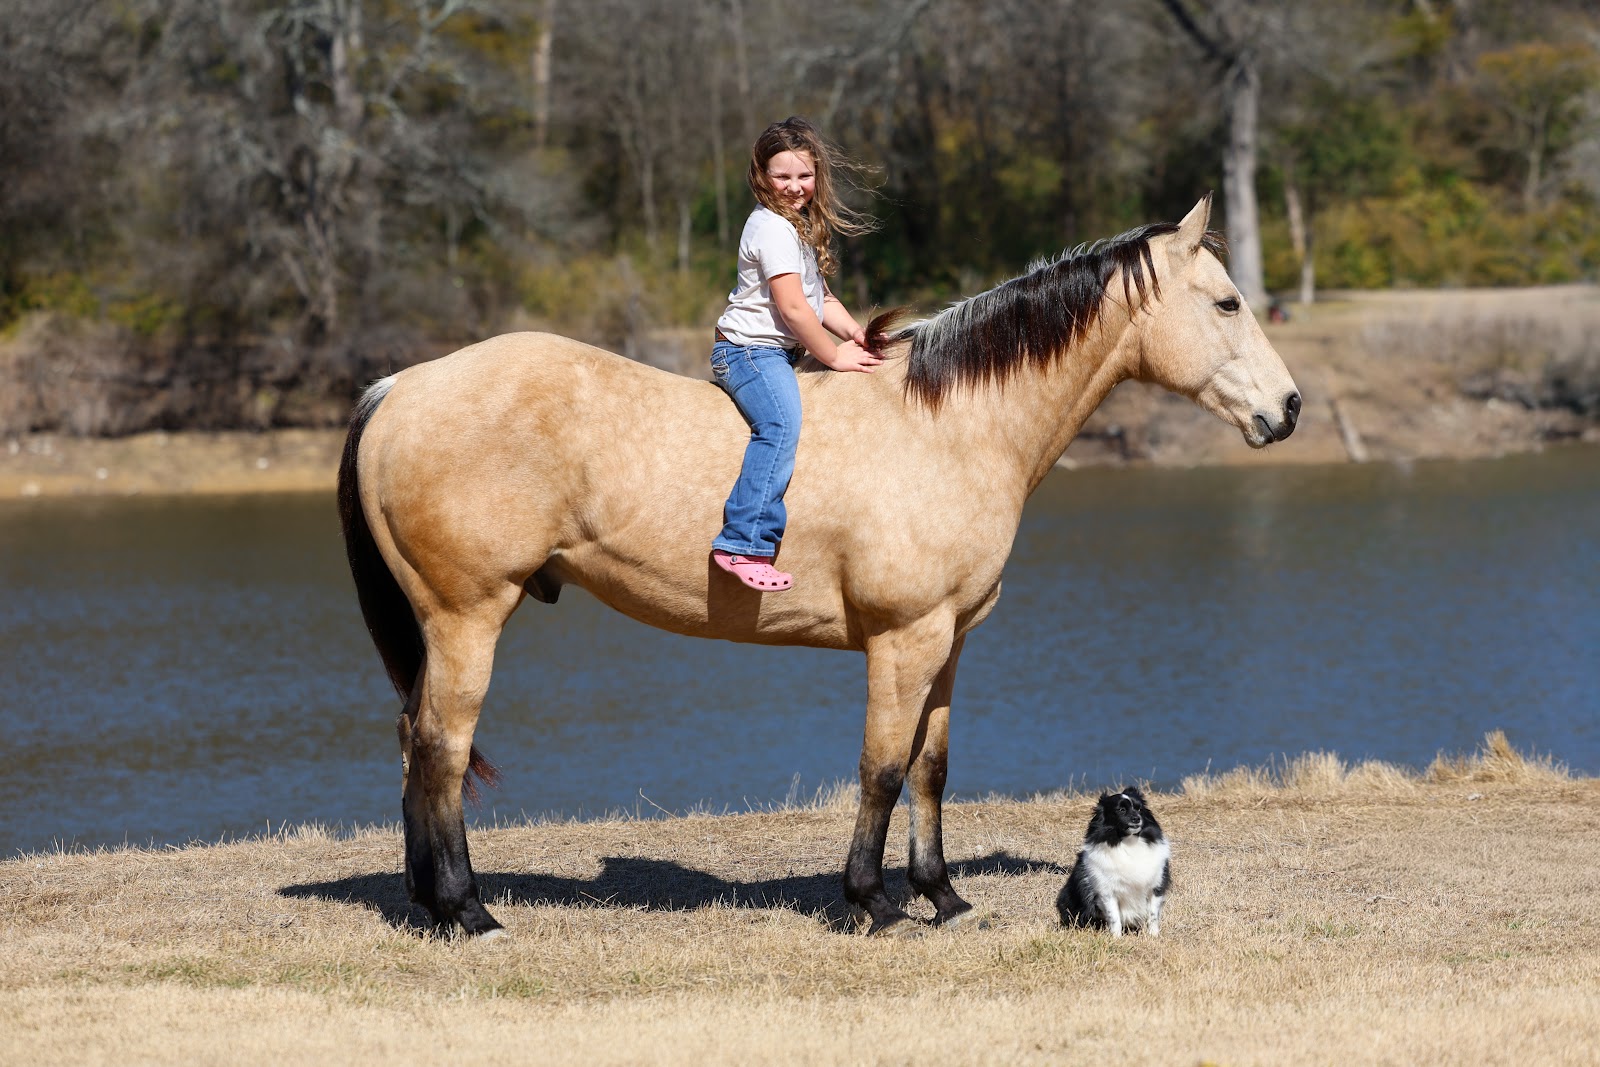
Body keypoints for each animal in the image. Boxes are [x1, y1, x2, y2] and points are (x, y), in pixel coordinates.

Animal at [336, 195, 1300, 938]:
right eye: (1226, 302)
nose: (1288, 408)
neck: (947, 424)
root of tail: (400, 386)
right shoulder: (903, 640)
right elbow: (880, 767)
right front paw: (872, 901)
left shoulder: (949, 643)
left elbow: (929, 768)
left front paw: (944, 895)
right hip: (468, 617)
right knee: (441, 749)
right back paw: (468, 910)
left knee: (414, 744)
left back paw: (429, 903)